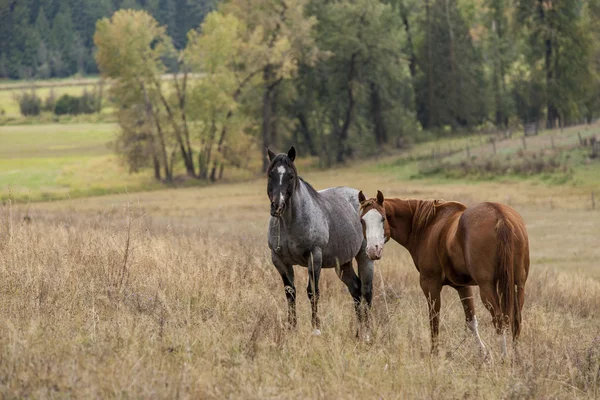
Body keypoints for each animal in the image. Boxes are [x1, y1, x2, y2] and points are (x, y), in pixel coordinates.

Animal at [266, 147, 372, 338]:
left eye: (290, 176)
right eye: (271, 174)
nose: (277, 206)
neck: (290, 222)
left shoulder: (314, 256)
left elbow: (313, 292)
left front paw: (316, 328)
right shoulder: (279, 260)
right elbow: (290, 293)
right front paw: (292, 328)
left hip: (364, 257)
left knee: (366, 292)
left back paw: (367, 333)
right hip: (342, 263)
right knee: (356, 289)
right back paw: (358, 332)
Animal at [356, 191, 528, 356]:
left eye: (383, 218)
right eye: (362, 221)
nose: (373, 250)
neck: (427, 226)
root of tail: (500, 217)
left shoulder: (430, 284)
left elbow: (434, 321)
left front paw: (434, 353)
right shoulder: (463, 287)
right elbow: (471, 321)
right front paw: (484, 354)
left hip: (487, 287)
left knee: (499, 320)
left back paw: (505, 357)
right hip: (518, 285)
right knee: (516, 319)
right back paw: (516, 357)